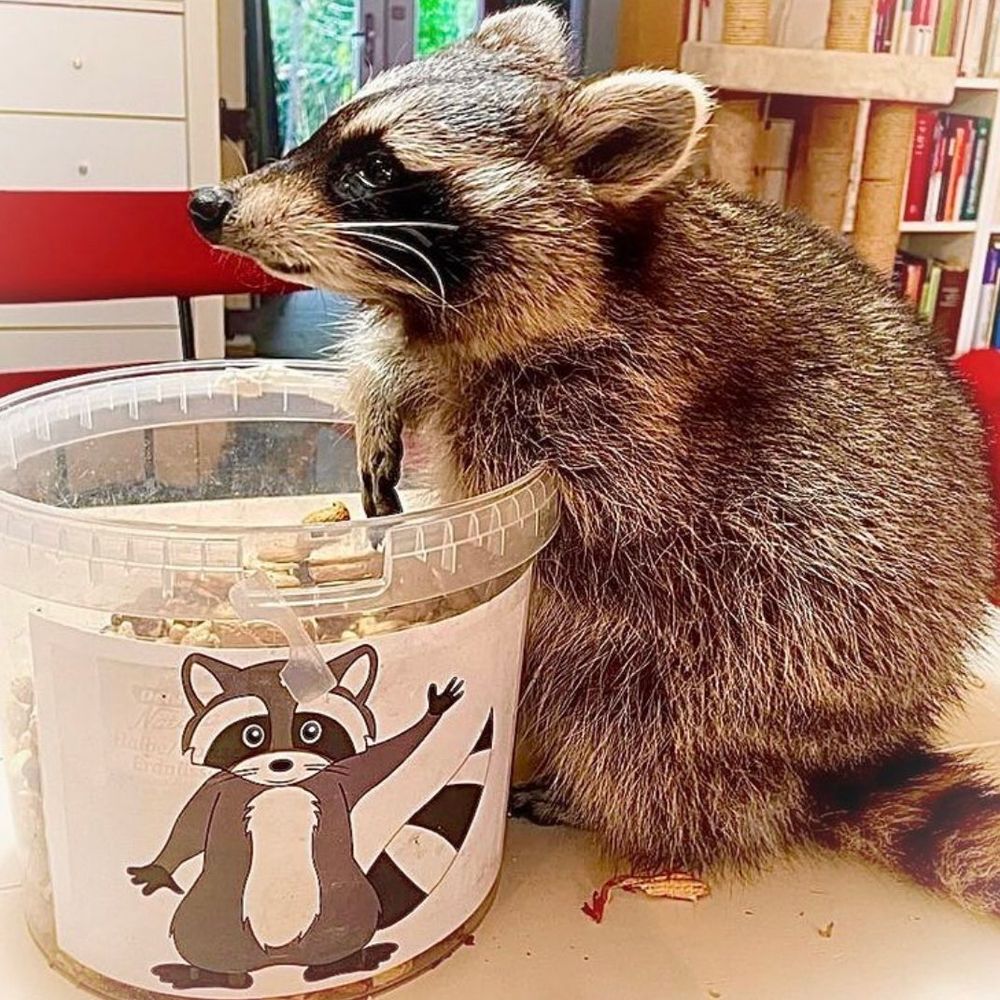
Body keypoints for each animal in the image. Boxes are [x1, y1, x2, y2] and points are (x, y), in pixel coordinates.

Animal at [128, 646, 490, 990]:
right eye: (252, 735)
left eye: (311, 730)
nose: (281, 764)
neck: (281, 786)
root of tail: (279, 958)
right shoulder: (220, 788)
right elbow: (191, 824)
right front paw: (158, 869)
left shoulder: (341, 777)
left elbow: (389, 755)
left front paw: (435, 710)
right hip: (216, 914)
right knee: (205, 941)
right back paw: (210, 975)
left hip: (341, 907)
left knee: (340, 935)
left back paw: (343, 963)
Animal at [188, 8, 1000, 915]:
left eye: (372, 168)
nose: (208, 203)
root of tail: (847, 756)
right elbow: (402, 365)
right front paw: (383, 387)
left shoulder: (637, 402)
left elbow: (593, 515)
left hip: (784, 656)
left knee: (650, 723)